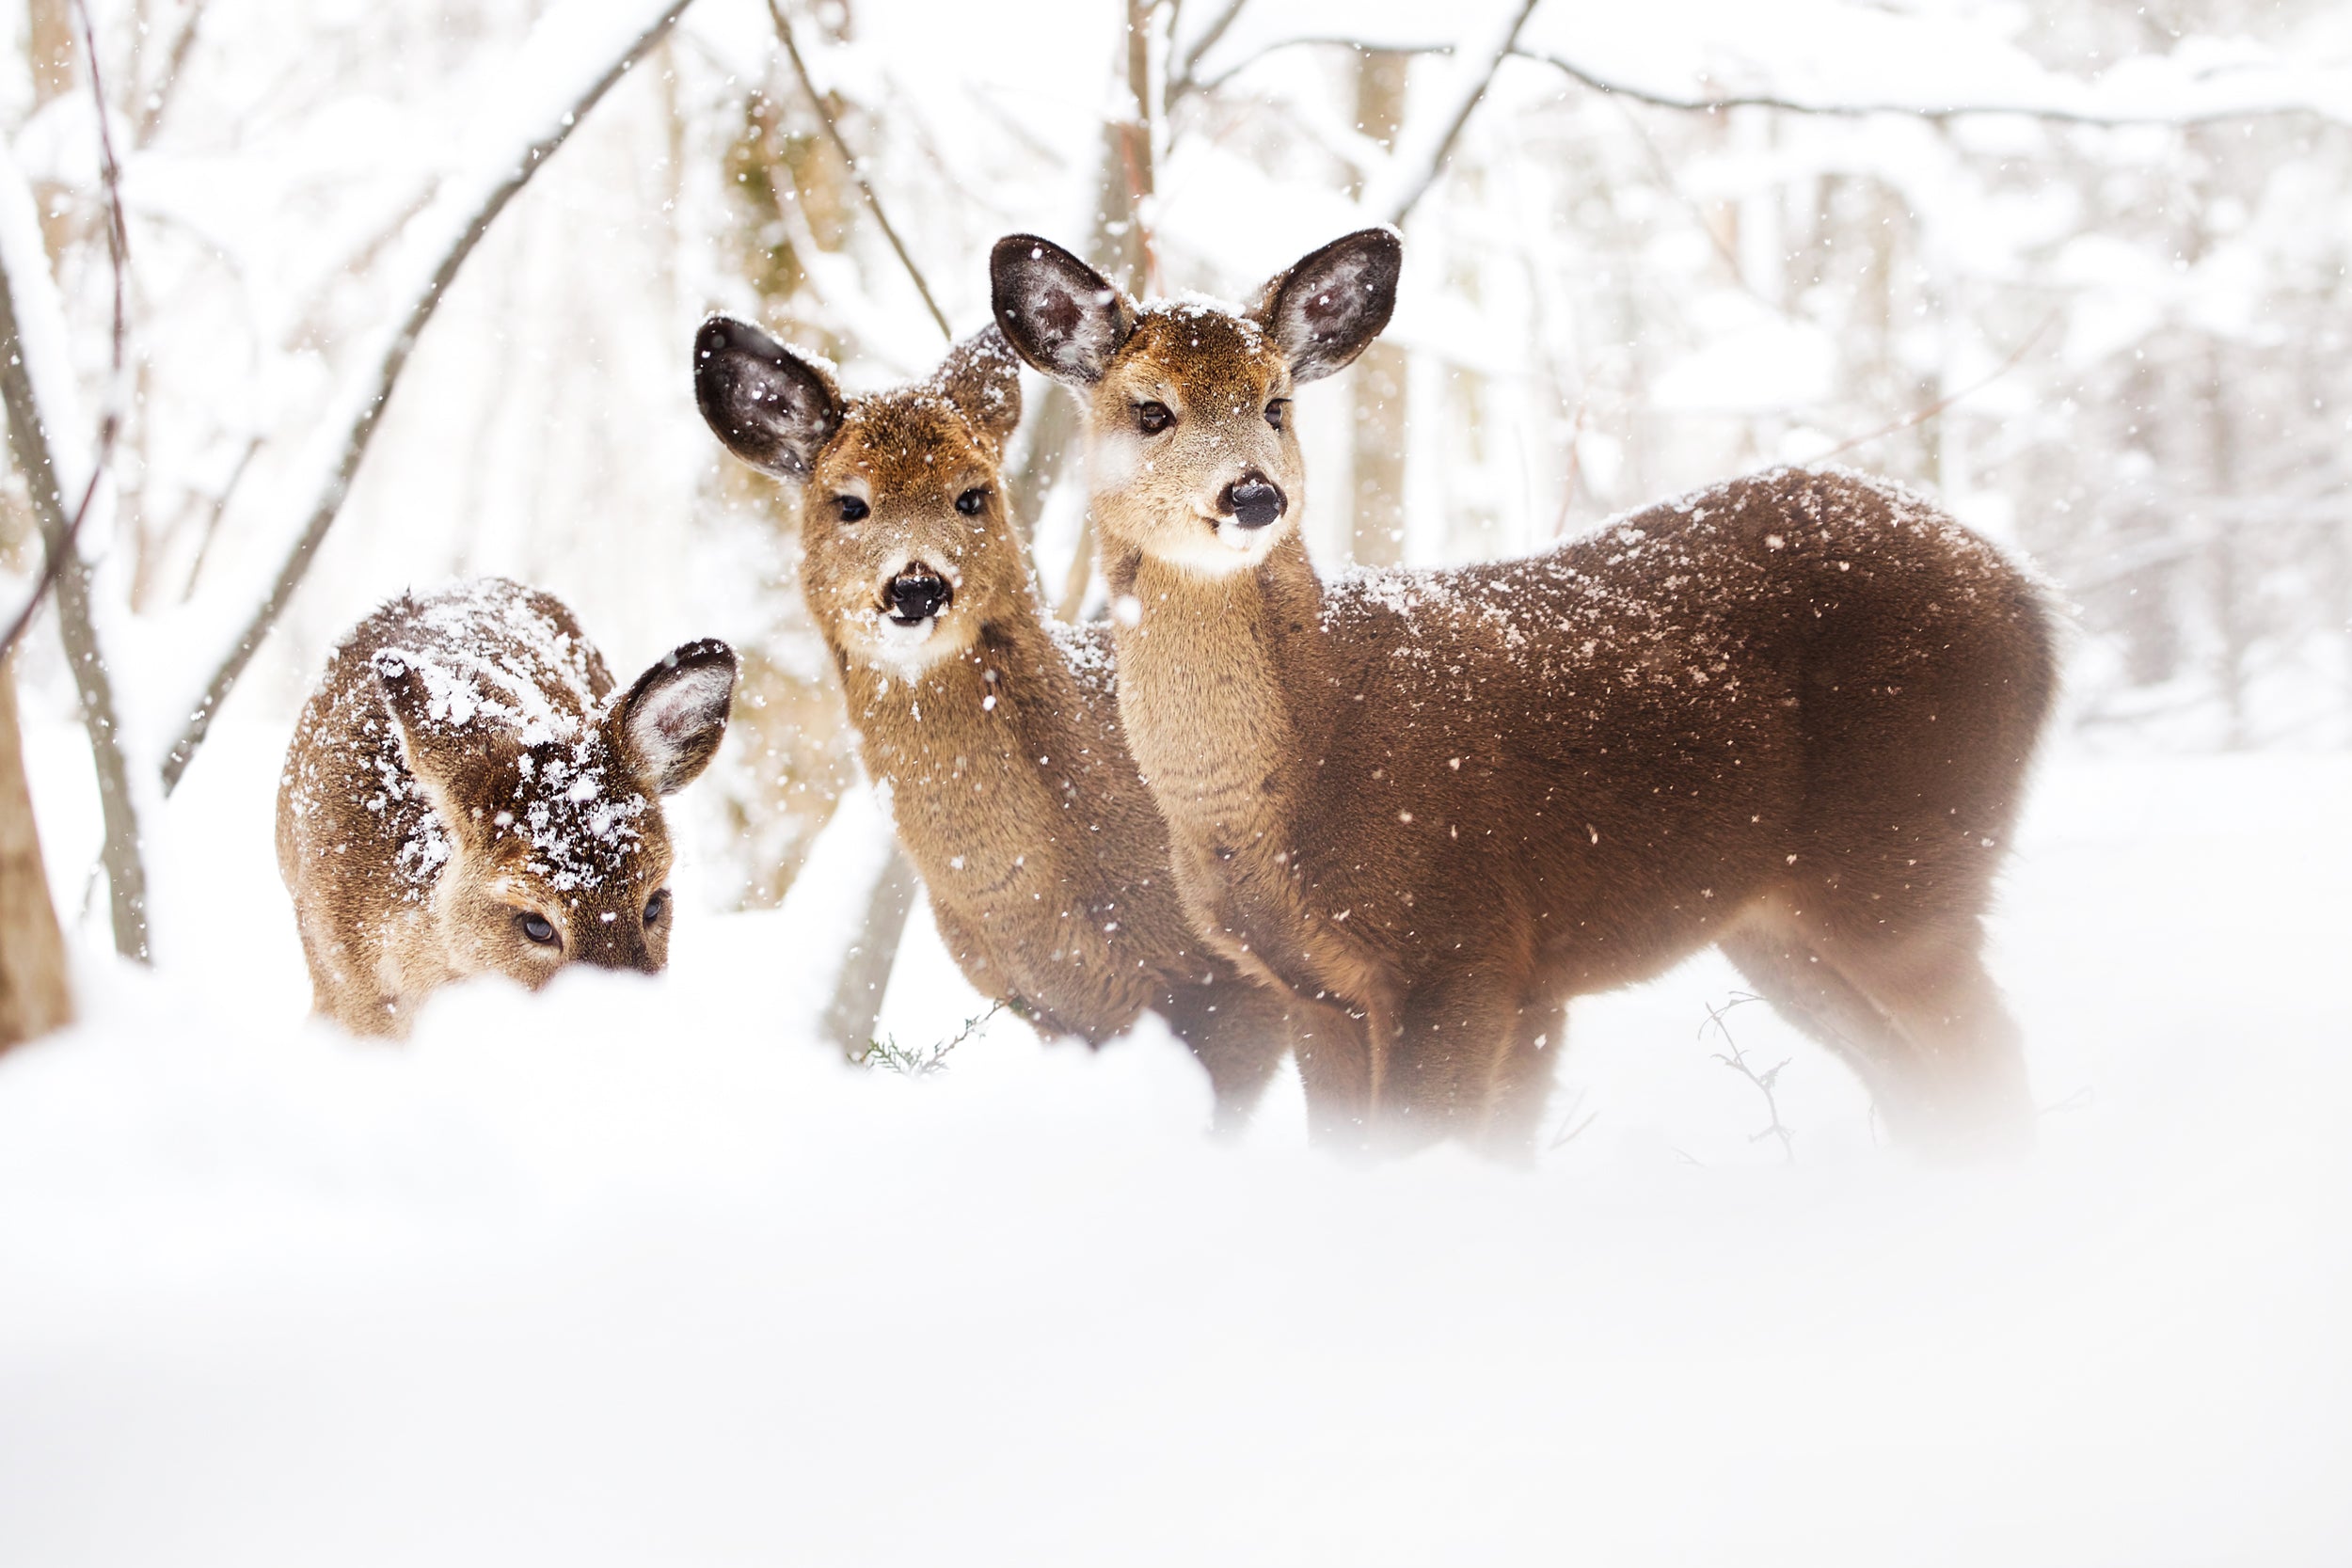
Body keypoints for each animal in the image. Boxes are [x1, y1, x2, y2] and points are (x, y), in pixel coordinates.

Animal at [990, 228, 2059, 1158]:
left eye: (1277, 402)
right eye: (1150, 409)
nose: (1253, 494)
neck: (1289, 775)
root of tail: (2032, 603)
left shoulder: (1462, 945)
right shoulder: (1323, 989)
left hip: (1905, 868)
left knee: (1990, 1062)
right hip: (1784, 928)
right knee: (1922, 1088)